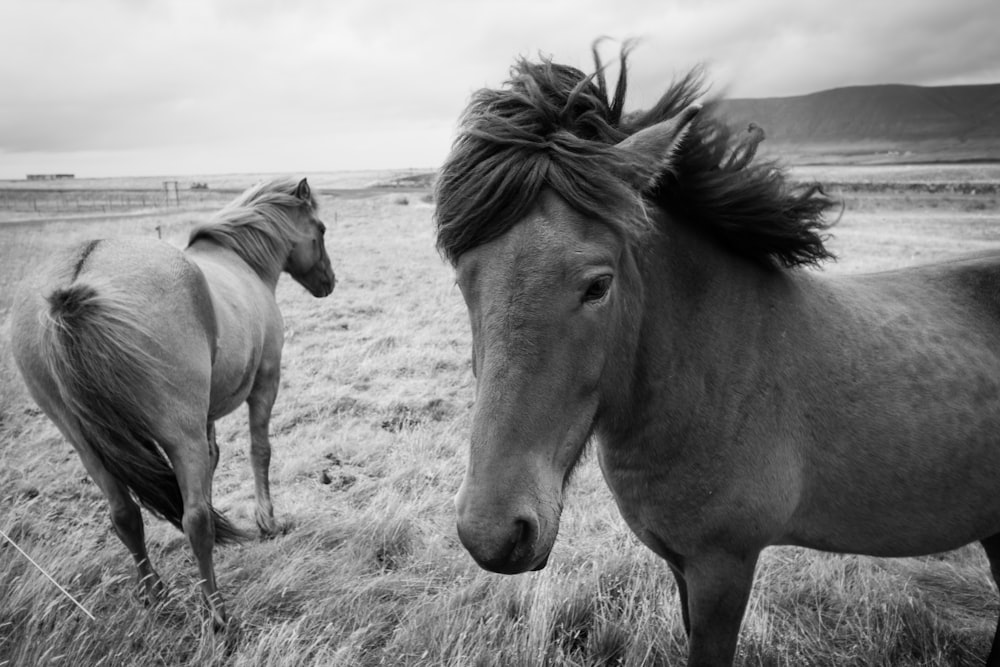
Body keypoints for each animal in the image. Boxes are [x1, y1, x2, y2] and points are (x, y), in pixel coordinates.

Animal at [9, 176, 336, 628]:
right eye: (320, 229)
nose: (329, 282)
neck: (241, 264)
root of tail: (77, 281)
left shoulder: (205, 417)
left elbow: (213, 461)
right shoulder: (265, 385)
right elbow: (260, 451)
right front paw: (267, 522)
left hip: (88, 446)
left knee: (125, 516)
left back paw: (155, 593)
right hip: (177, 434)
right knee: (194, 521)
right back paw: (216, 614)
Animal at [434, 48, 1000, 667]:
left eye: (599, 285)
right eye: (463, 280)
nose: (492, 534)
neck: (713, 374)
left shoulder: (723, 569)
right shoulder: (683, 566)